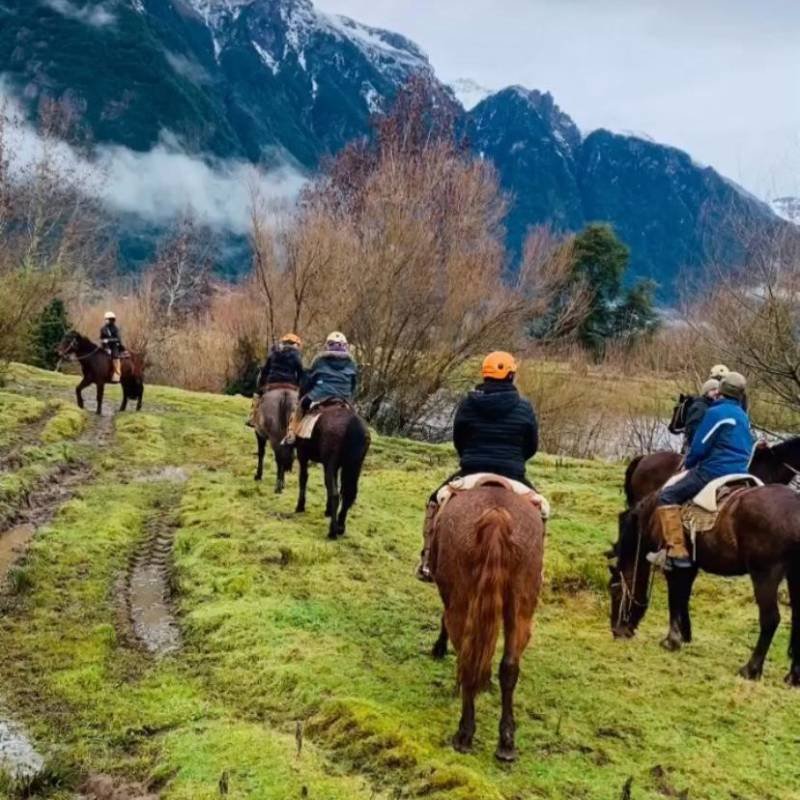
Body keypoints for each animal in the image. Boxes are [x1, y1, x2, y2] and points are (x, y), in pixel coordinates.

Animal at [292, 404, 370, 540]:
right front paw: (328, 511)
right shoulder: (331, 465)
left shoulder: (303, 455)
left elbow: (303, 478)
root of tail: (353, 424)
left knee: (335, 494)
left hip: (332, 460)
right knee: (348, 494)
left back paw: (332, 532)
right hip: (354, 465)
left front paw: (300, 506)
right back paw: (340, 527)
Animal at [432, 488, 544, 764]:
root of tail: (497, 515)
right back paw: (506, 742)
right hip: (521, 605)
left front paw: (439, 647)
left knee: (466, 658)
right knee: (509, 667)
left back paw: (464, 734)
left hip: (462, 599)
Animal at [608, 484, 800, 684]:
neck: (651, 516)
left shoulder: (674, 566)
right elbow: (683, 597)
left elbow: (674, 598)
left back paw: (751, 669)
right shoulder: (690, 566)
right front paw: (685, 634)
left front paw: (671, 640)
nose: (617, 631)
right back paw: (793, 676)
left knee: (770, 619)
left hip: (764, 576)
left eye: (614, 591)